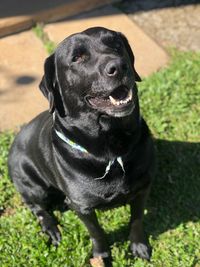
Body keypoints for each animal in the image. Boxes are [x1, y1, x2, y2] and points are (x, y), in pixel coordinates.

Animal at [8, 26, 155, 266]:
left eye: (116, 44)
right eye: (77, 58)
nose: (118, 66)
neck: (111, 148)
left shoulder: (143, 187)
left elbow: (137, 219)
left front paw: (139, 246)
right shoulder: (83, 206)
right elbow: (96, 232)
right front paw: (101, 256)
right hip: (32, 185)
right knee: (37, 208)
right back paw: (51, 230)